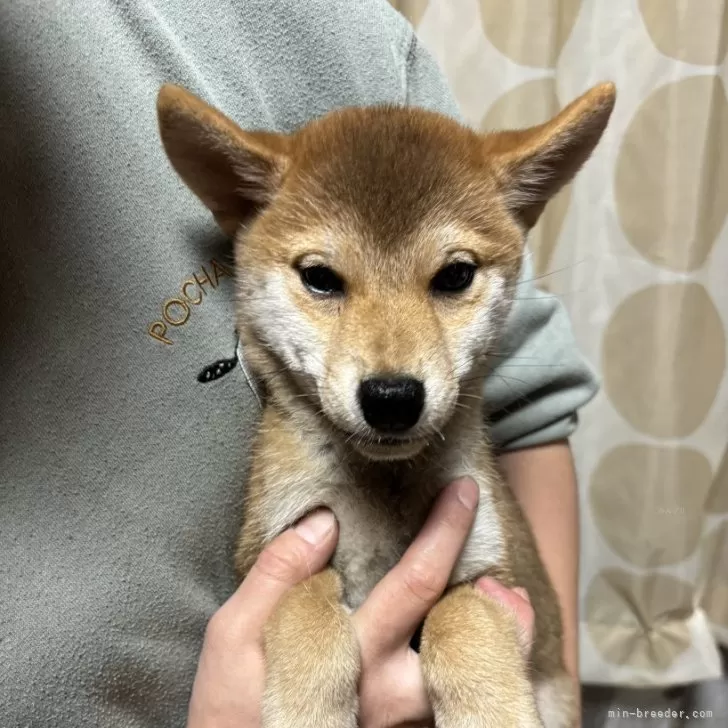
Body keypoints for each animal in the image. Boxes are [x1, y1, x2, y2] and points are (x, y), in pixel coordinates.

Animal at [158, 79, 616, 728]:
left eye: (455, 275)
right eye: (321, 278)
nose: (392, 397)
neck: (384, 489)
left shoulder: (490, 571)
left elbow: (460, 621)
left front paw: (490, 708)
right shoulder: (275, 546)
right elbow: (306, 610)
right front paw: (309, 708)